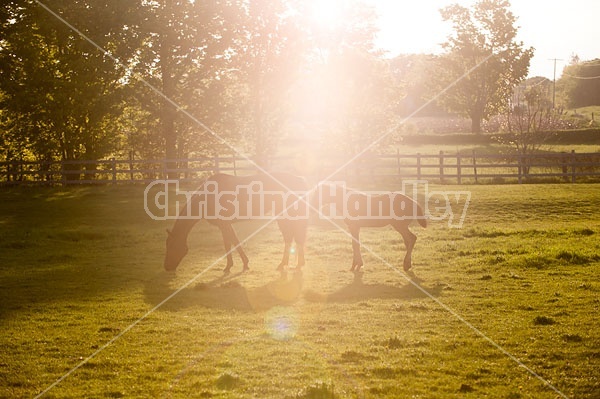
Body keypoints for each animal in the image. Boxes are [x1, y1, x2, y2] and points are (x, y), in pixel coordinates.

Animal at [163, 173, 308, 274]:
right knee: (294, 238)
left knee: (291, 237)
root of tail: (300, 179)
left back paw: (286, 264)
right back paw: (294, 264)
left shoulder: (224, 224)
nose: (167, 267)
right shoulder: (226, 225)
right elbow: (233, 241)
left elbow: (229, 243)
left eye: (171, 246)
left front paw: (230, 266)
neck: (207, 197)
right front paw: (242, 264)